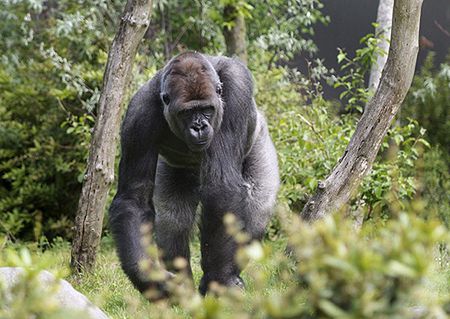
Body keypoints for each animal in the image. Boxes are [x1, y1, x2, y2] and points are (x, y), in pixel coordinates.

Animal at [108, 51, 278, 298]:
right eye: (187, 112)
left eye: (207, 109)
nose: (199, 127)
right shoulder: (138, 115)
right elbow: (134, 198)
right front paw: (146, 275)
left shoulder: (236, 86)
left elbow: (221, 188)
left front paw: (218, 279)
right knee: (172, 220)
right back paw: (183, 286)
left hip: (259, 138)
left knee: (258, 207)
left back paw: (231, 277)